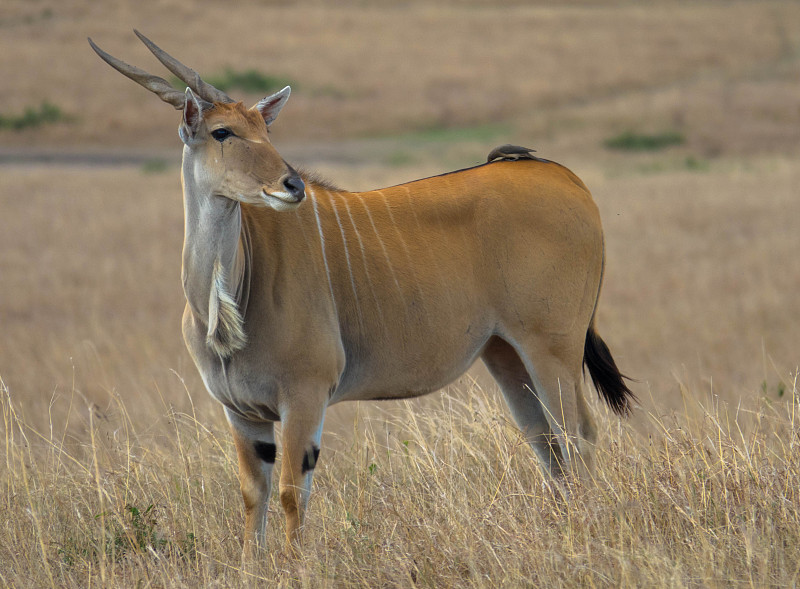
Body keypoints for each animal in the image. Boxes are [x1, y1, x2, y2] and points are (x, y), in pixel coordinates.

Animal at [90, 31, 636, 556]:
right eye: (222, 132)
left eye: (266, 130)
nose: (291, 185)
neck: (233, 292)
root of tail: (566, 178)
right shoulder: (241, 412)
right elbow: (253, 495)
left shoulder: (305, 395)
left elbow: (291, 493)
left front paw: (295, 567)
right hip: (506, 354)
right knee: (549, 445)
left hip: (551, 347)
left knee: (580, 437)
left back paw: (583, 534)